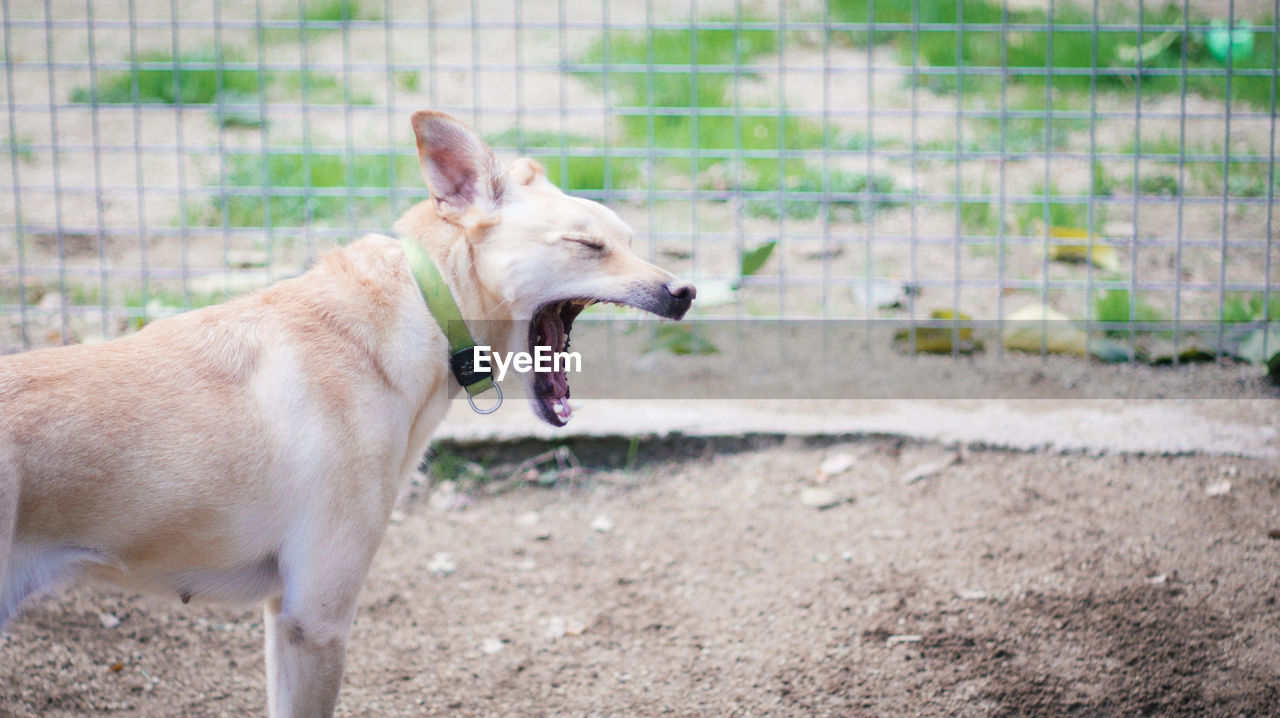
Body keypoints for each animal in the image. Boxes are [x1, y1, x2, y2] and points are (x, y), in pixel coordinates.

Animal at [0, 110, 696, 716]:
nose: (685, 291)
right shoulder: (316, 620)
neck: (422, 306)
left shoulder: (283, 614)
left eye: (627, 239)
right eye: (587, 244)